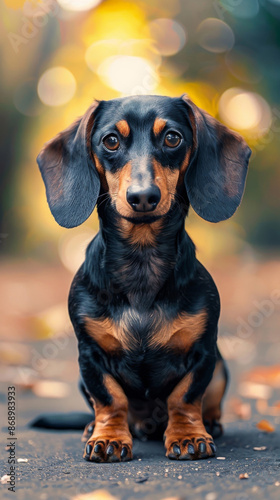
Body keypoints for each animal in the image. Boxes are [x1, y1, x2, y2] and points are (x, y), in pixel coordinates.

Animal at [36, 94, 250, 460]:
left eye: (172, 138)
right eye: (110, 140)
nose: (143, 197)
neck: (142, 260)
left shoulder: (204, 353)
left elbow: (185, 398)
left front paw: (188, 436)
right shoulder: (89, 357)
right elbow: (110, 399)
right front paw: (108, 438)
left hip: (222, 364)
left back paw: (209, 423)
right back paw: (97, 427)